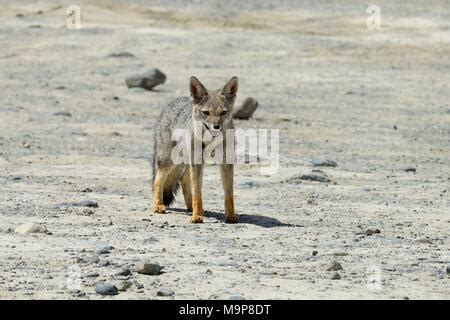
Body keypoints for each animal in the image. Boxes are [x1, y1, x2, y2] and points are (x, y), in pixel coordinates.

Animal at [151, 76, 239, 224]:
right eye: (205, 113)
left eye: (223, 112)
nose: (216, 127)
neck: (210, 142)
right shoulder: (197, 163)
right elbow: (197, 193)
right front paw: (197, 216)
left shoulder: (226, 163)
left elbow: (229, 194)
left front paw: (231, 216)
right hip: (171, 161)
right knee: (157, 180)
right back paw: (158, 205)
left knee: (184, 181)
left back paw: (190, 208)